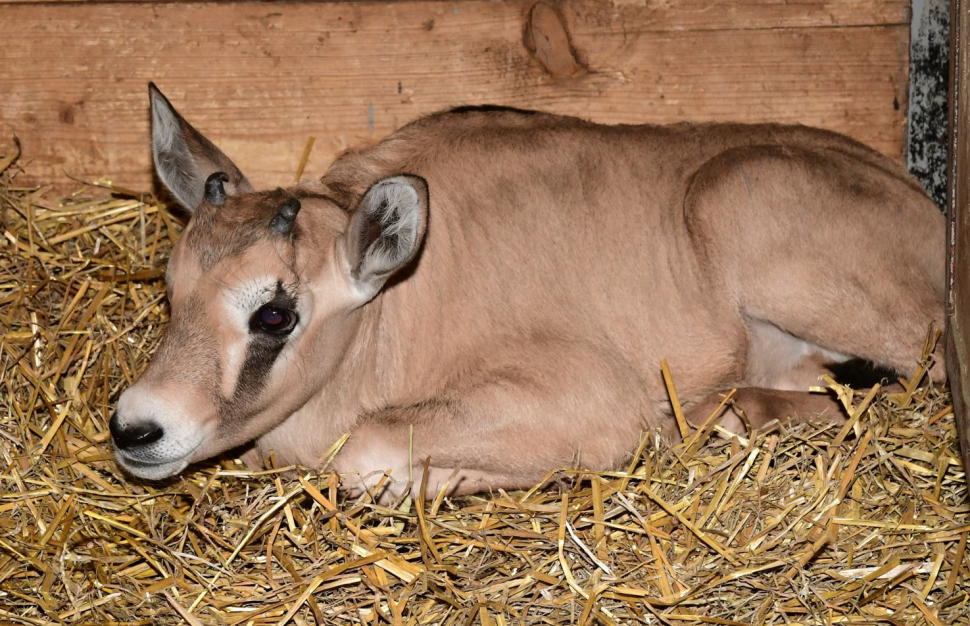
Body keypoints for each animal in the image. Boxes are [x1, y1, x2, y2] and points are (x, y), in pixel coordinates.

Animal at [109, 85, 940, 500]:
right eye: (174, 288)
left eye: (275, 313)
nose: (136, 429)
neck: (401, 306)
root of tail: (922, 208)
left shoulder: (592, 398)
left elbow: (370, 453)